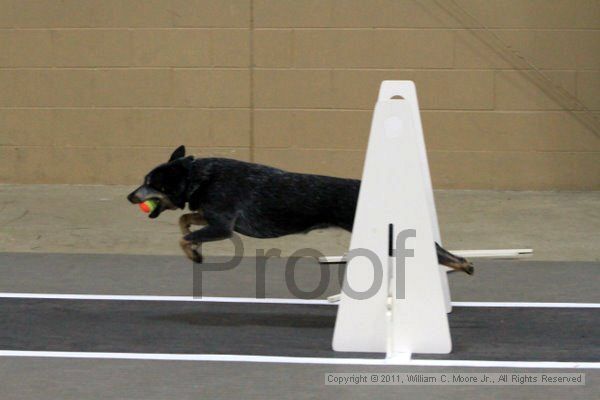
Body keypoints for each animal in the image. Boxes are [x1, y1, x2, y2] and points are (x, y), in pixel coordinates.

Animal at [127, 145, 474, 274]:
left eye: (149, 182)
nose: (130, 196)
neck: (201, 177)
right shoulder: (214, 220)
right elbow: (184, 221)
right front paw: (195, 249)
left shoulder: (223, 227)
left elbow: (183, 236)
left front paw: (193, 253)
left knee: (441, 253)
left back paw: (462, 264)